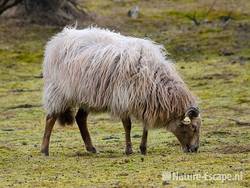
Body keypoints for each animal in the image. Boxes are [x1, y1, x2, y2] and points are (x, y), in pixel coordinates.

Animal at [40, 26, 201, 156]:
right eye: (193, 127)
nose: (194, 149)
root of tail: (59, 38)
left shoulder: (144, 101)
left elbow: (145, 126)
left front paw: (143, 148)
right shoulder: (122, 98)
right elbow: (128, 126)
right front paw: (129, 150)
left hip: (86, 95)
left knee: (80, 118)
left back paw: (91, 148)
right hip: (58, 91)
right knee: (50, 118)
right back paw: (44, 150)